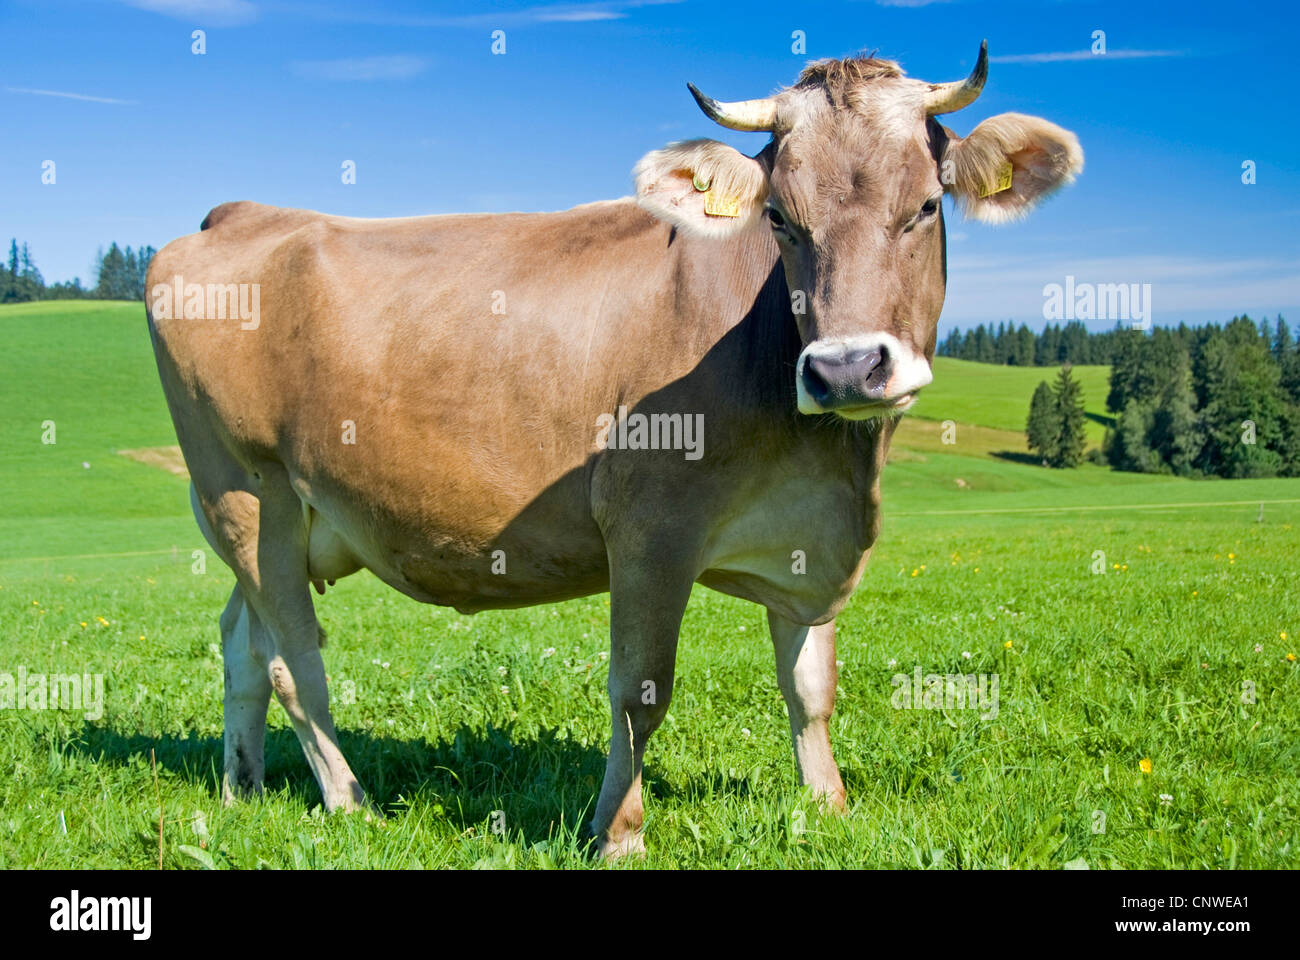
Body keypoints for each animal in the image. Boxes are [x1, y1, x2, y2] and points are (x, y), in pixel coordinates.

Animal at [142, 41, 1081, 858]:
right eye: (781, 217)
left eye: (924, 206)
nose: (847, 366)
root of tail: (240, 211)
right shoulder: (649, 529)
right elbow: (640, 690)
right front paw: (617, 832)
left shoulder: (809, 537)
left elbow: (812, 689)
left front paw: (830, 808)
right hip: (246, 490)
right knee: (292, 659)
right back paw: (350, 802)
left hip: (292, 522)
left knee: (241, 641)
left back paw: (242, 789)